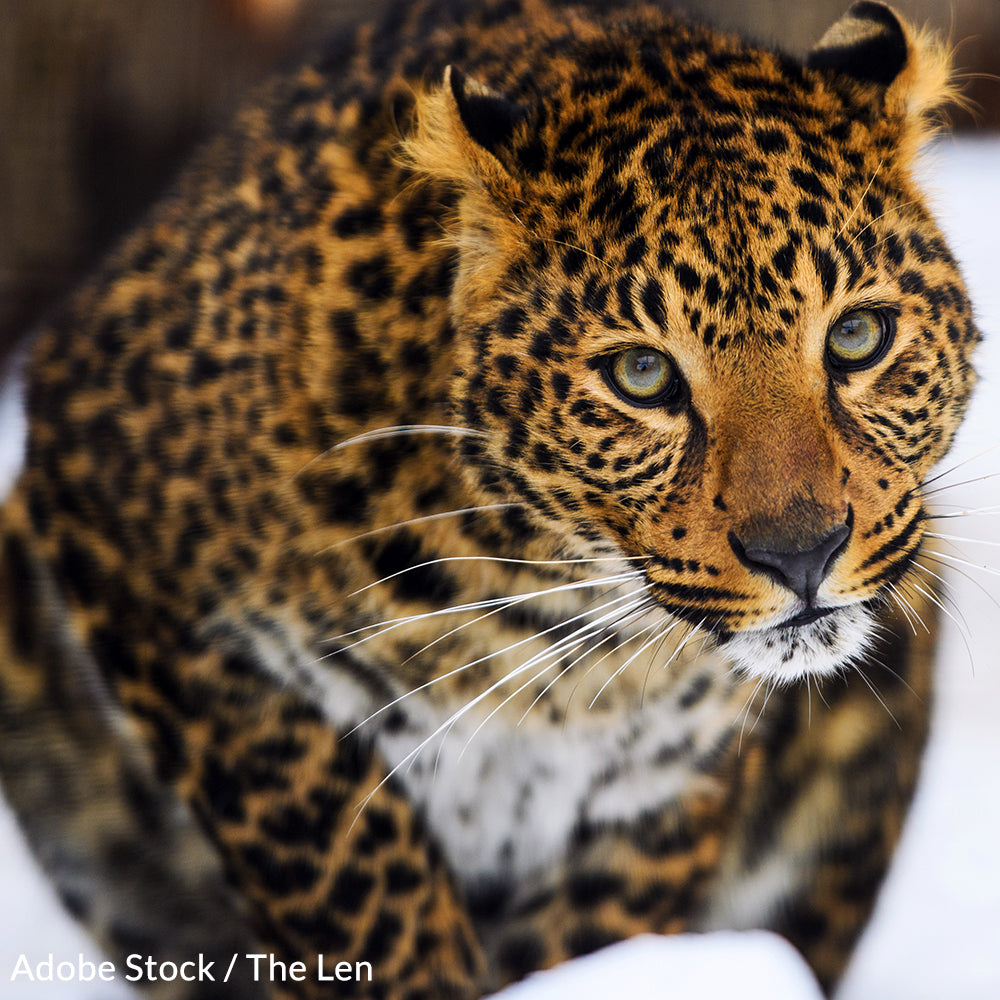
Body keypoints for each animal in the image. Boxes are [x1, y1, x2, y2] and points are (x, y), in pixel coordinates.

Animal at [0, 0, 980, 997]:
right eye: (642, 375)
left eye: (858, 337)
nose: (803, 554)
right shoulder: (144, 575)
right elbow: (351, 879)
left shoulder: (659, 794)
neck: (557, 632)